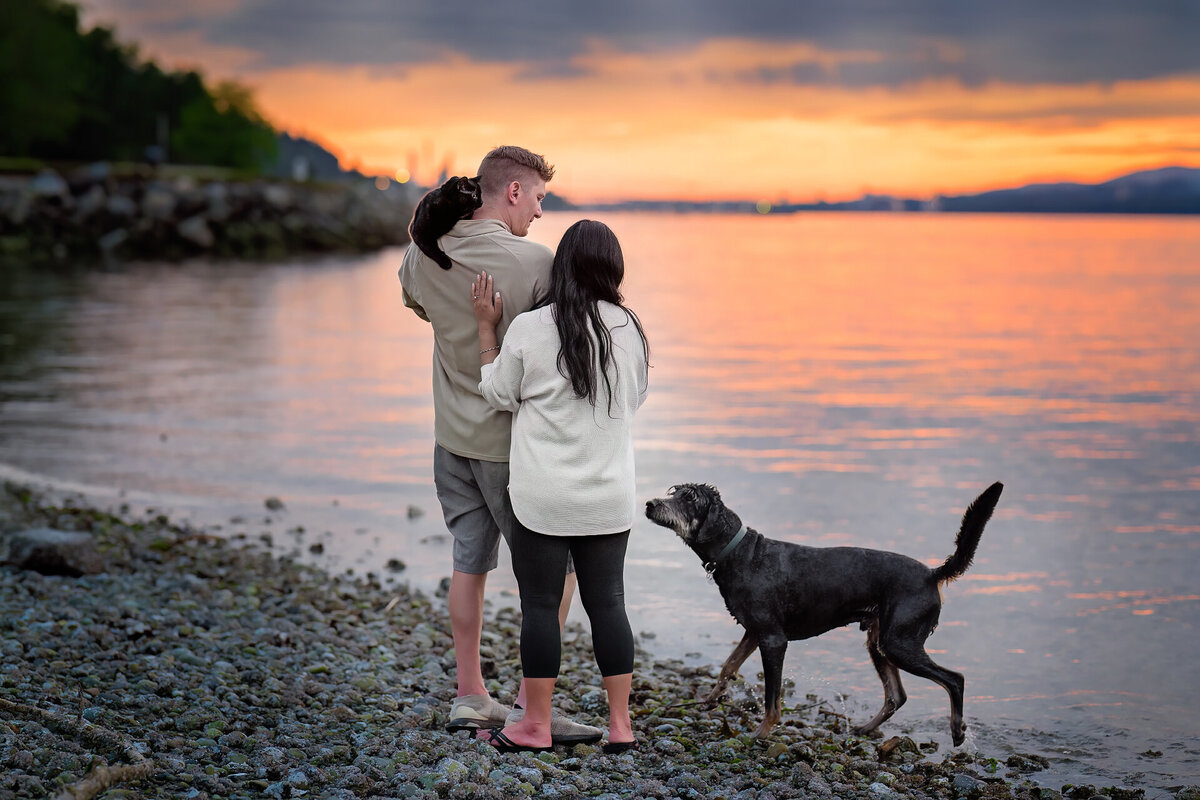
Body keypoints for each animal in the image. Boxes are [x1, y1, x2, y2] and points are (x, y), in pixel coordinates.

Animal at [648, 482, 1003, 743]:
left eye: (689, 498)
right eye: (673, 491)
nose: (650, 504)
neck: (739, 553)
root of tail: (933, 574)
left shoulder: (773, 639)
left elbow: (772, 697)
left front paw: (762, 733)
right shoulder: (753, 632)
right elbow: (727, 666)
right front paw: (710, 699)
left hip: (899, 642)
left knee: (954, 679)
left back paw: (957, 730)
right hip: (880, 642)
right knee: (896, 695)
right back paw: (864, 729)